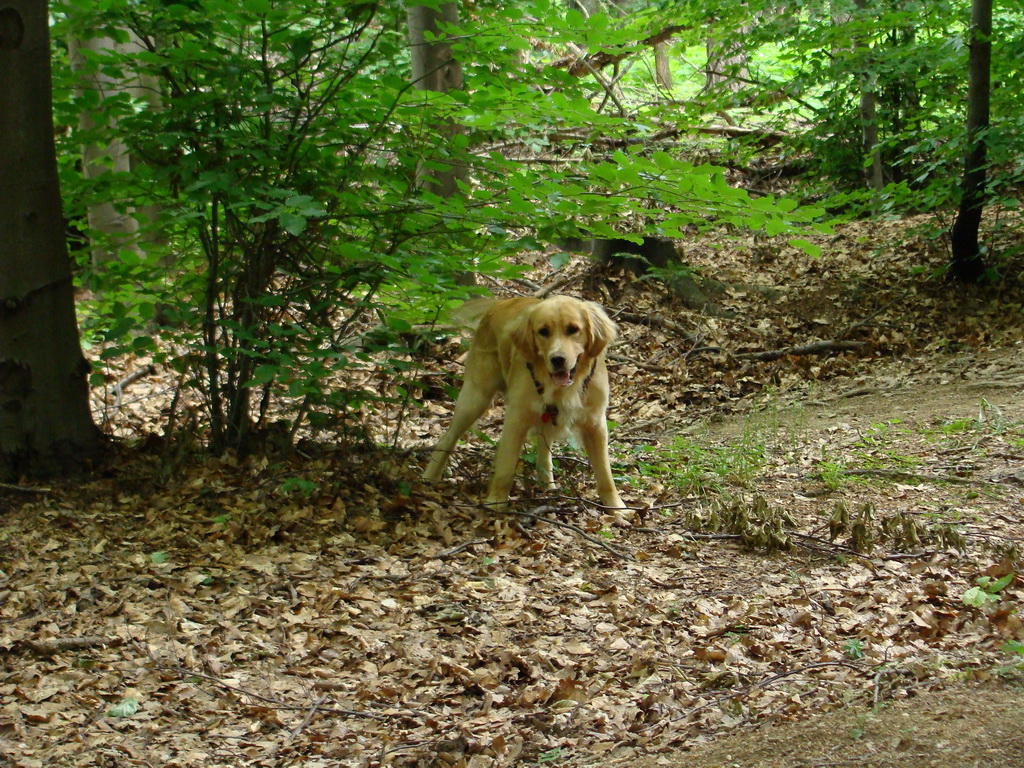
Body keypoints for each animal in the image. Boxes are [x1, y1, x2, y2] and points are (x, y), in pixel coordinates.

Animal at [421, 296, 622, 512]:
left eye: (573, 329)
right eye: (543, 331)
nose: (558, 359)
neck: (563, 388)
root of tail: (499, 303)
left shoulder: (595, 423)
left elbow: (605, 473)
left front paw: (617, 507)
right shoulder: (516, 419)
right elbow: (506, 466)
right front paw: (496, 502)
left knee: (544, 450)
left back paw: (547, 485)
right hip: (475, 398)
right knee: (447, 438)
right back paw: (430, 476)